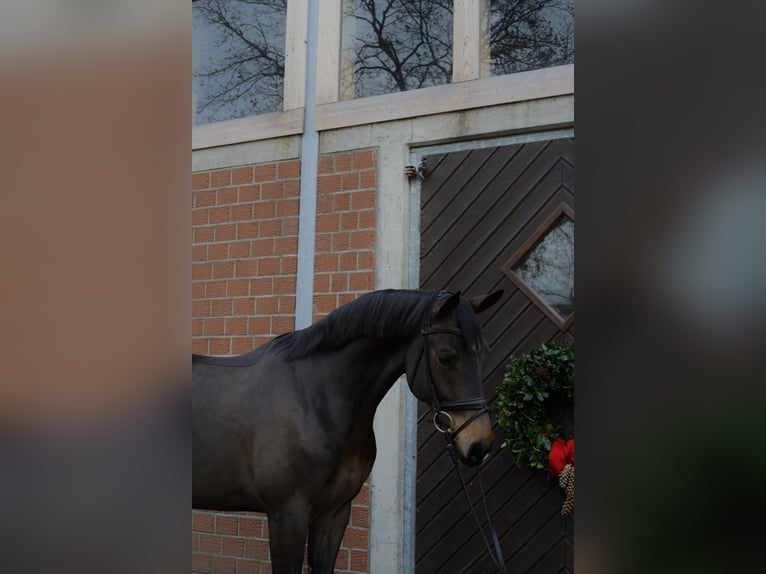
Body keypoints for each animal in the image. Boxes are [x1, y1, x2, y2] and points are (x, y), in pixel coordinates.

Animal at [192, 288, 502, 574]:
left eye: (485, 354)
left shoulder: (334, 514)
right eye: (446, 358)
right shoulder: (287, 515)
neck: (314, 399)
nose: (479, 444)